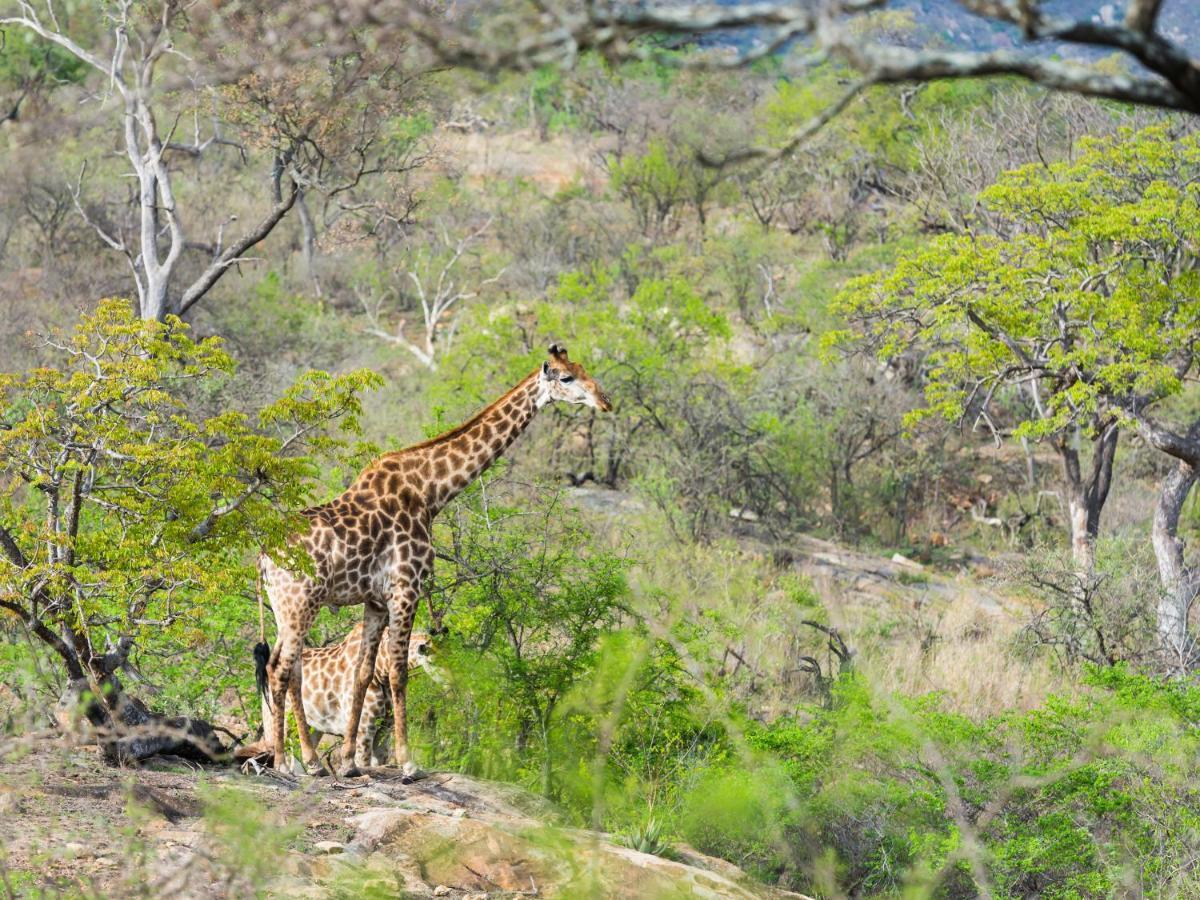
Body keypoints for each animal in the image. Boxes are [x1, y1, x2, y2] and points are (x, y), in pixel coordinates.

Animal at [253, 628, 446, 768]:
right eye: (434, 660)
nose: (451, 682)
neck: (382, 669)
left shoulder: (384, 727)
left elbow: (379, 762)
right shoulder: (364, 728)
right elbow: (364, 763)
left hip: (313, 726)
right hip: (280, 719)